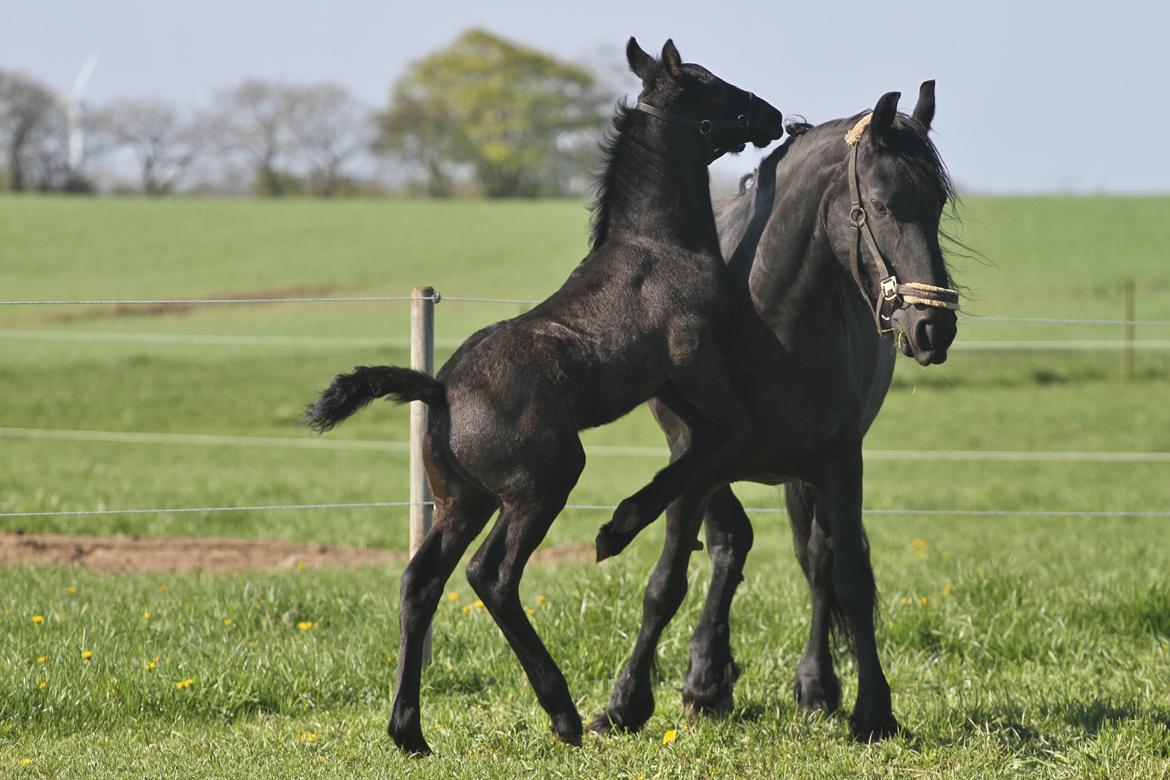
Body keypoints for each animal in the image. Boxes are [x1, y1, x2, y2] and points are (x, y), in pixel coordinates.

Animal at [306, 38, 781, 757]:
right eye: (707, 84)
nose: (773, 116)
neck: (659, 247)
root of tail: (439, 390)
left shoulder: (675, 391)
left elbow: (699, 454)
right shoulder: (695, 368)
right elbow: (716, 443)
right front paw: (619, 526)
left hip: (464, 499)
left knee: (421, 581)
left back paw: (409, 731)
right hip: (543, 482)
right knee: (491, 577)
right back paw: (562, 713)